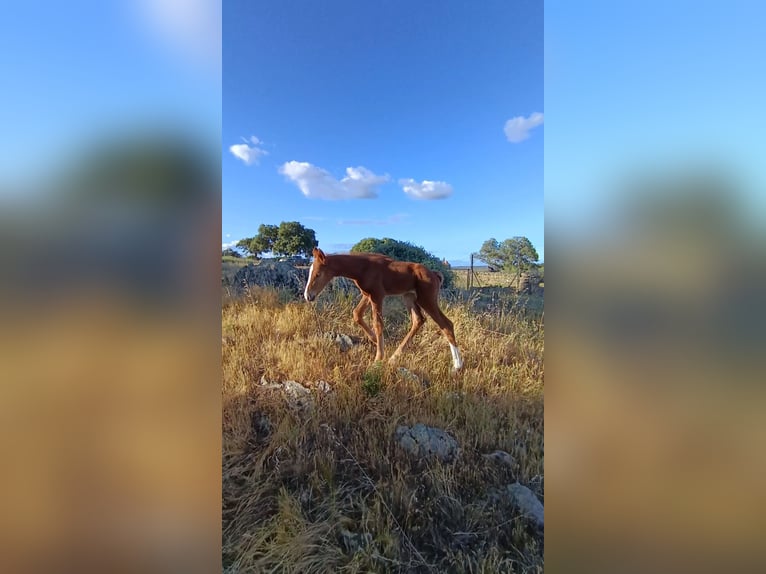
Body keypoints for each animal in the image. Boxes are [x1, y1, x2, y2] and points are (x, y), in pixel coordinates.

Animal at [304, 247, 463, 371]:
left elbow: (378, 323)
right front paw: (375, 340)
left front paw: (378, 358)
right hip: (409, 297)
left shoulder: (377, 295)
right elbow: (357, 314)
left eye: (318, 274)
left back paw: (457, 366)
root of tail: (435, 274)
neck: (363, 267)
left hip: (427, 300)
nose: (308, 296)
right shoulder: (367, 295)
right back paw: (394, 357)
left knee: (446, 324)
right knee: (419, 320)